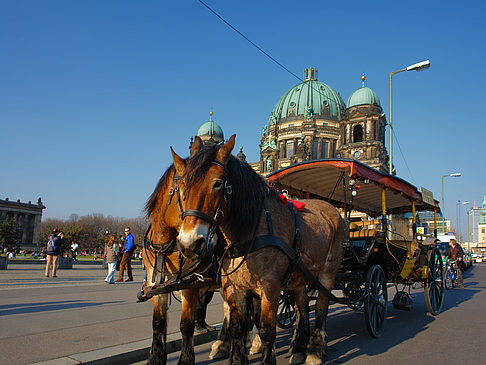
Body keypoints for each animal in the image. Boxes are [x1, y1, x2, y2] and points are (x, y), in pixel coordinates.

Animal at [173, 134, 344, 364]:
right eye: (182, 184)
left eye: (218, 183)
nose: (190, 242)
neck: (249, 229)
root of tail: (331, 207)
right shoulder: (234, 286)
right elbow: (238, 326)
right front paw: (236, 355)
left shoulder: (270, 286)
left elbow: (266, 330)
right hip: (301, 276)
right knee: (302, 306)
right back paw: (299, 347)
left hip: (328, 273)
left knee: (321, 307)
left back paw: (315, 350)